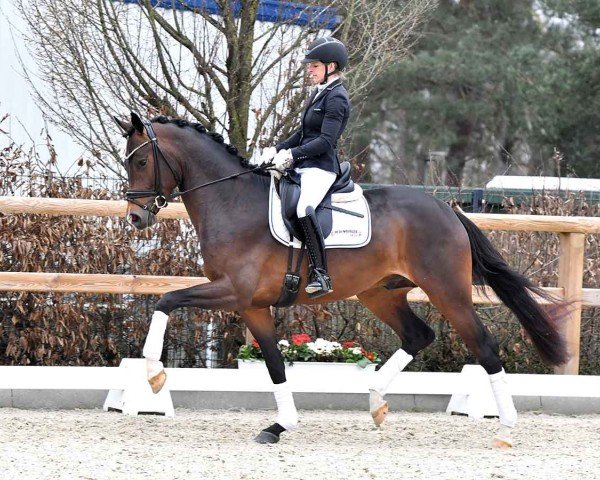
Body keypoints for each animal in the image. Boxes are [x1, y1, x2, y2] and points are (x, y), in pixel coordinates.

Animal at [116, 111, 568, 446]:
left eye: (141, 161)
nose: (135, 218)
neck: (232, 201)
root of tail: (447, 210)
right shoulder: (253, 305)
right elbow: (275, 363)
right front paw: (279, 426)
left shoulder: (233, 291)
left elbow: (166, 301)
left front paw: (154, 374)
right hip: (381, 294)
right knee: (418, 335)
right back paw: (376, 402)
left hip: (448, 292)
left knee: (484, 347)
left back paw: (506, 429)